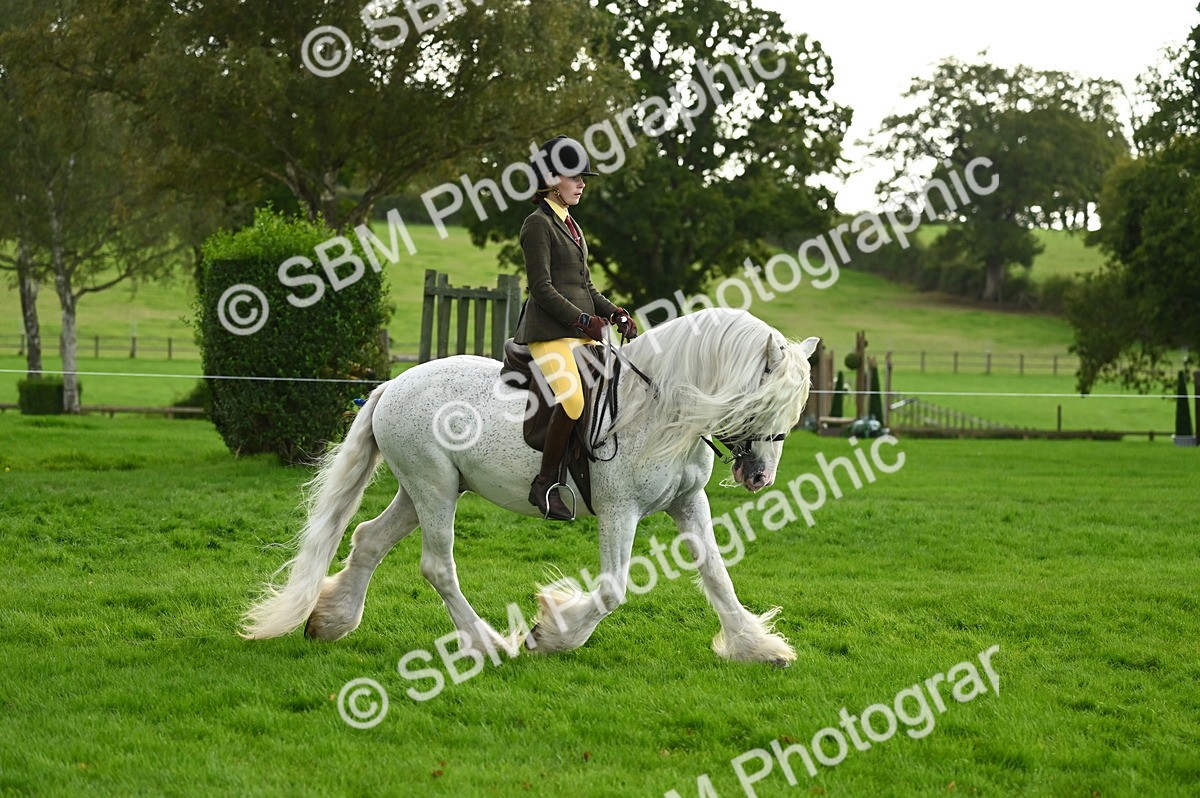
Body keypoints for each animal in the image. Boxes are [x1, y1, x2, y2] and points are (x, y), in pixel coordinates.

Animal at [241, 307, 819, 666]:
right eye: (761, 404)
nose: (759, 477)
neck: (660, 407)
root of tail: (393, 385)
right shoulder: (620, 510)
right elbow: (612, 589)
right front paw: (552, 634)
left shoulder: (687, 502)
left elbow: (718, 575)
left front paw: (756, 647)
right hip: (433, 489)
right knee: (437, 566)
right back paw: (488, 644)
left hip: (423, 489)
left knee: (367, 539)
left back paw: (329, 621)